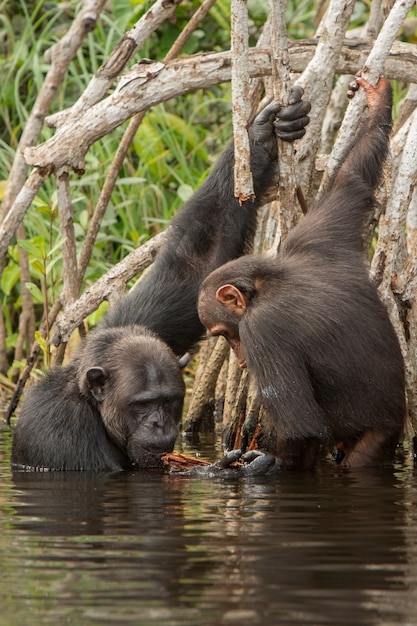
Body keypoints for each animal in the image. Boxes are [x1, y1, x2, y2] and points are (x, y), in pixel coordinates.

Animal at [9, 90, 310, 470]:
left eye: (168, 401)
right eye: (142, 404)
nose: (159, 423)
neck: (93, 406)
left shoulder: (140, 323)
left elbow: (195, 263)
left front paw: (261, 135)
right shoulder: (63, 433)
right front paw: (230, 469)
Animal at [198, 77, 406, 472]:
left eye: (225, 334)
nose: (240, 357)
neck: (264, 285)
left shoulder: (262, 331)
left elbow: (301, 428)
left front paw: (261, 464)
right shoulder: (314, 238)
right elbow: (351, 179)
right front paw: (378, 101)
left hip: (375, 442)